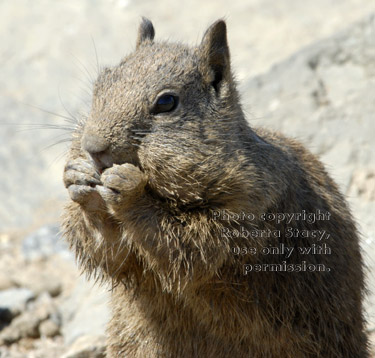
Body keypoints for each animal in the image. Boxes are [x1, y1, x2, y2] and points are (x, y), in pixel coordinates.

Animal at [61, 17, 370, 358]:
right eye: (101, 83)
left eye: (166, 102)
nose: (93, 147)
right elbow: (111, 253)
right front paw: (78, 178)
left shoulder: (248, 206)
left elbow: (190, 249)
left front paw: (129, 190)